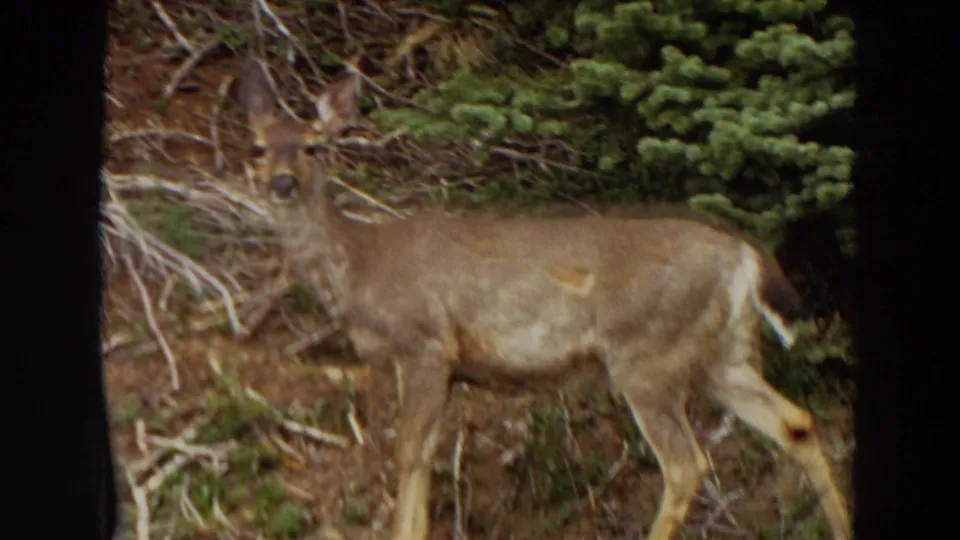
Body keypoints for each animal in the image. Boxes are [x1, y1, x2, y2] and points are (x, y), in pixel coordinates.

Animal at [234, 59, 852, 540]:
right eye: (258, 147)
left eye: (314, 146)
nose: (282, 183)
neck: (360, 267)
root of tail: (743, 256)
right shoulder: (446, 367)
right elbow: (425, 455)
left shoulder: (424, 344)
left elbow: (408, 453)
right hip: (722, 353)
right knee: (796, 423)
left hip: (646, 352)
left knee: (685, 464)